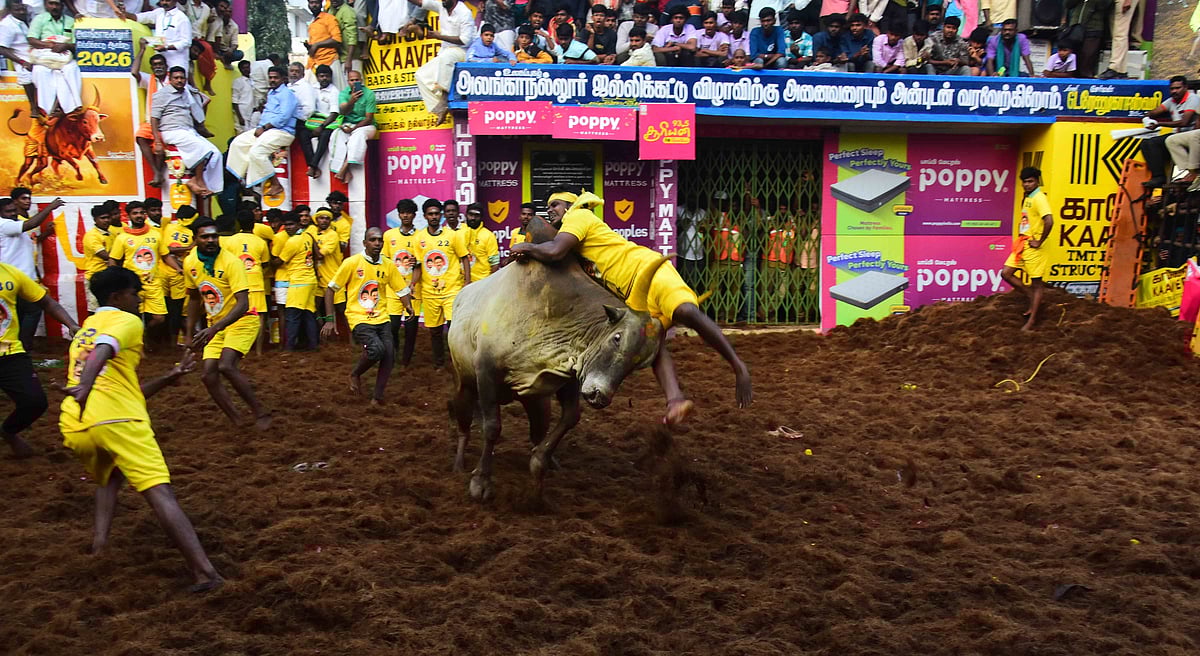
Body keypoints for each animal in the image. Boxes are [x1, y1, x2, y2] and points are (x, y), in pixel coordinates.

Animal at [448, 220, 667, 501]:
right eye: (617, 338)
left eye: (639, 364)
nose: (600, 395)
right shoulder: (486, 372)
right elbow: (492, 428)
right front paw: (481, 481)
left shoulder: (570, 375)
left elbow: (570, 417)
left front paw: (539, 462)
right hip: (464, 384)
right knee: (464, 423)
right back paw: (459, 463)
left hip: (535, 401)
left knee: (537, 431)